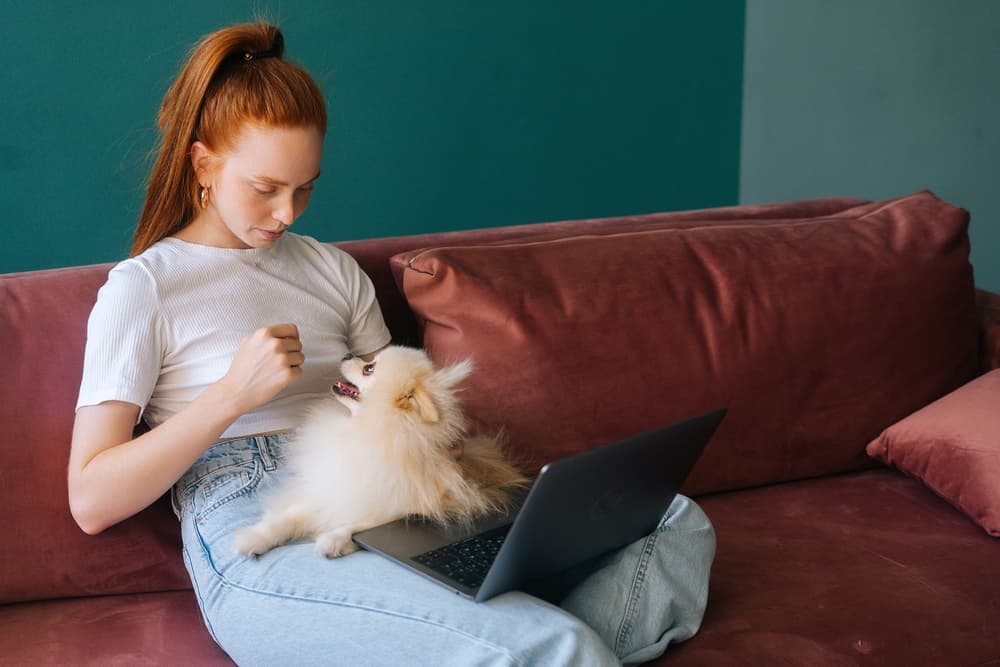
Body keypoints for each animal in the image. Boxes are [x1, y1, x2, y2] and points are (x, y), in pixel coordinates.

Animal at [235, 344, 532, 560]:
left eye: (369, 368)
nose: (347, 353)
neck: (368, 430)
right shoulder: (333, 488)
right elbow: (290, 516)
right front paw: (256, 537)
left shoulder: (417, 502)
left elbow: (369, 522)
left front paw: (335, 538)